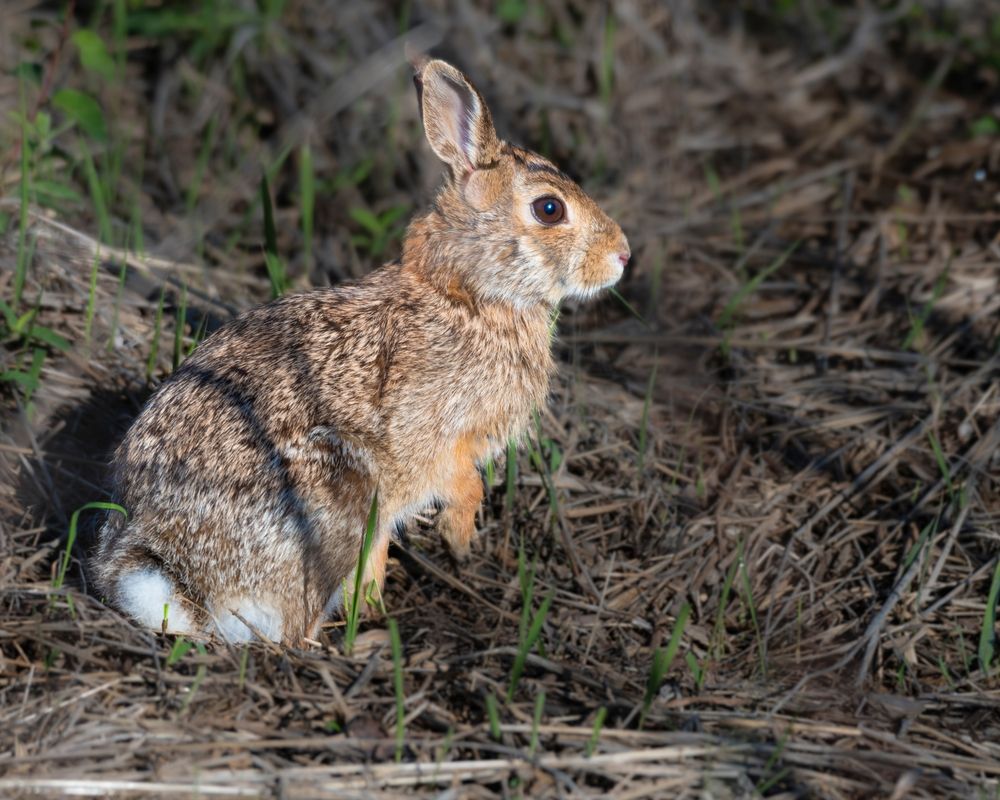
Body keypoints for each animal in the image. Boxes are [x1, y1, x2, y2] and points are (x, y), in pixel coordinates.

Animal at [93, 57, 630, 645]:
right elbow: (461, 482)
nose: (623, 255)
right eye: (549, 209)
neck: (470, 297)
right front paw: (460, 536)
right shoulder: (431, 439)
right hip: (335, 501)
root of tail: (173, 572)